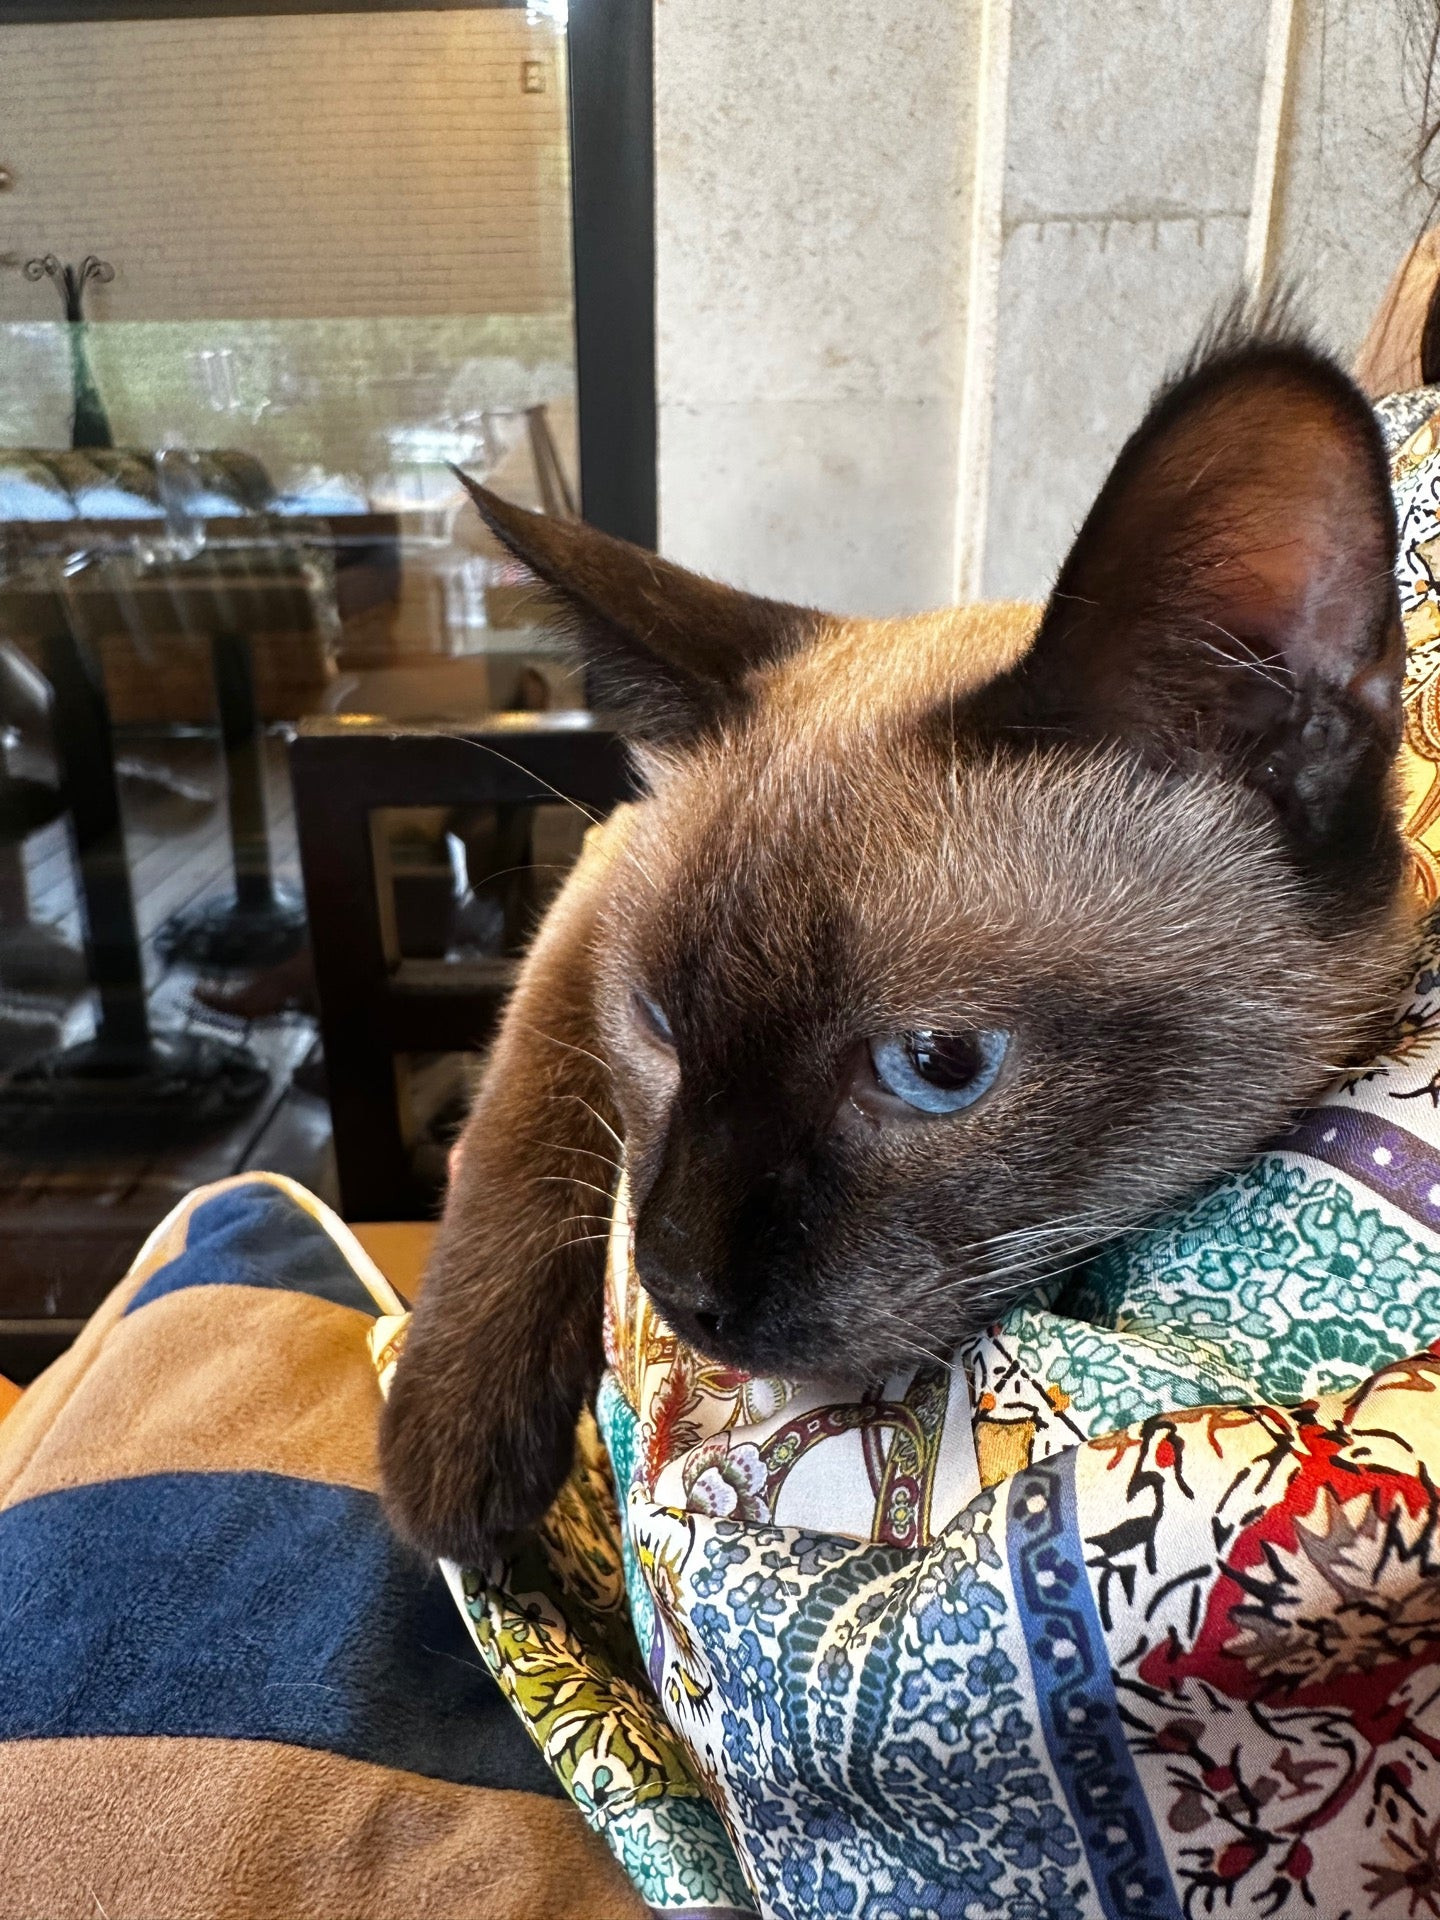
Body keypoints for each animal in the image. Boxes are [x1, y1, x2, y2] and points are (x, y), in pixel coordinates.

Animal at [380, 320, 1420, 1568]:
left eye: (935, 1067)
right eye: (661, 1028)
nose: (675, 1284)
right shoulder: (589, 890)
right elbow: (524, 1107)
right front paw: (451, 1465)